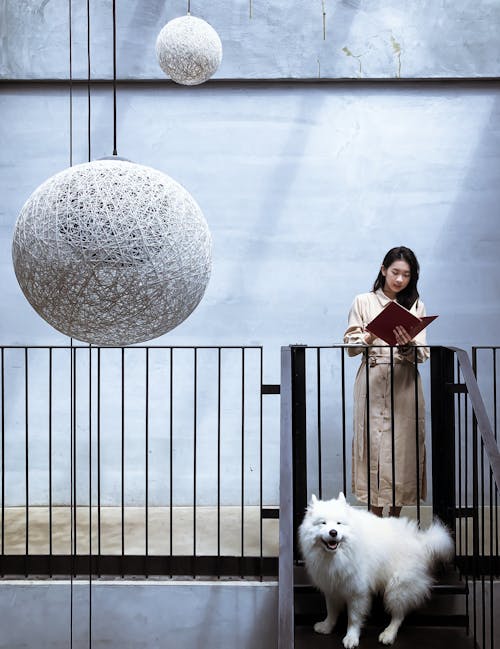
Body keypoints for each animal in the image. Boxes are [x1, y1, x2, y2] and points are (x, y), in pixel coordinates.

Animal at [298, 494, 456, 644]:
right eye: (322, 523)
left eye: (339, 523)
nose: (333, 532)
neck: (336, 556)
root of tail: (421, 540)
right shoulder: (331, 587)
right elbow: (331, 611)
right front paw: (326, 627)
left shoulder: (357, 592)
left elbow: (354, 618)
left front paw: (351, 638)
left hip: (397, 586)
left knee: (399, 615)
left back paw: (389, 633)